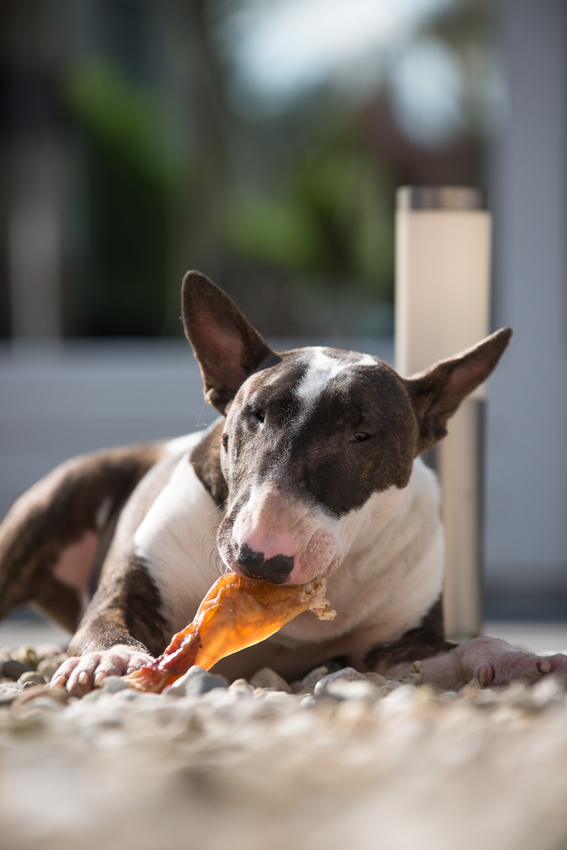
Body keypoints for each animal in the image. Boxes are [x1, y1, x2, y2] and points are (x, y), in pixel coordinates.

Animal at [1, 270, 566, 696]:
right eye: (256, 415)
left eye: (362, 434)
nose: (260, 559)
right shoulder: (128, 591)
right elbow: (104, 623)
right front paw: (110, 661)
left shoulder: (397, 650)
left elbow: (465, 648)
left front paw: (522, 662)